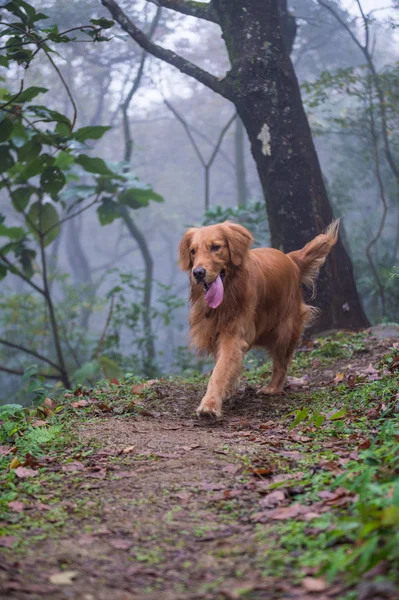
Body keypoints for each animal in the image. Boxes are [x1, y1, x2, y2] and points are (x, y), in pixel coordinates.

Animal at [180, 219, 340, 418]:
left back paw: (273, 388)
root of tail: (290, 258)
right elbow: (224, 366)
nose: (198, 273)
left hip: (285, 328)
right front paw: (225, 392)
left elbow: (219, 371)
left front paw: (209, 404)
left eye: (215, 247)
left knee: (281, 362)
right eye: (193, 251)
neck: (229, 291)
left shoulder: (233, 335)